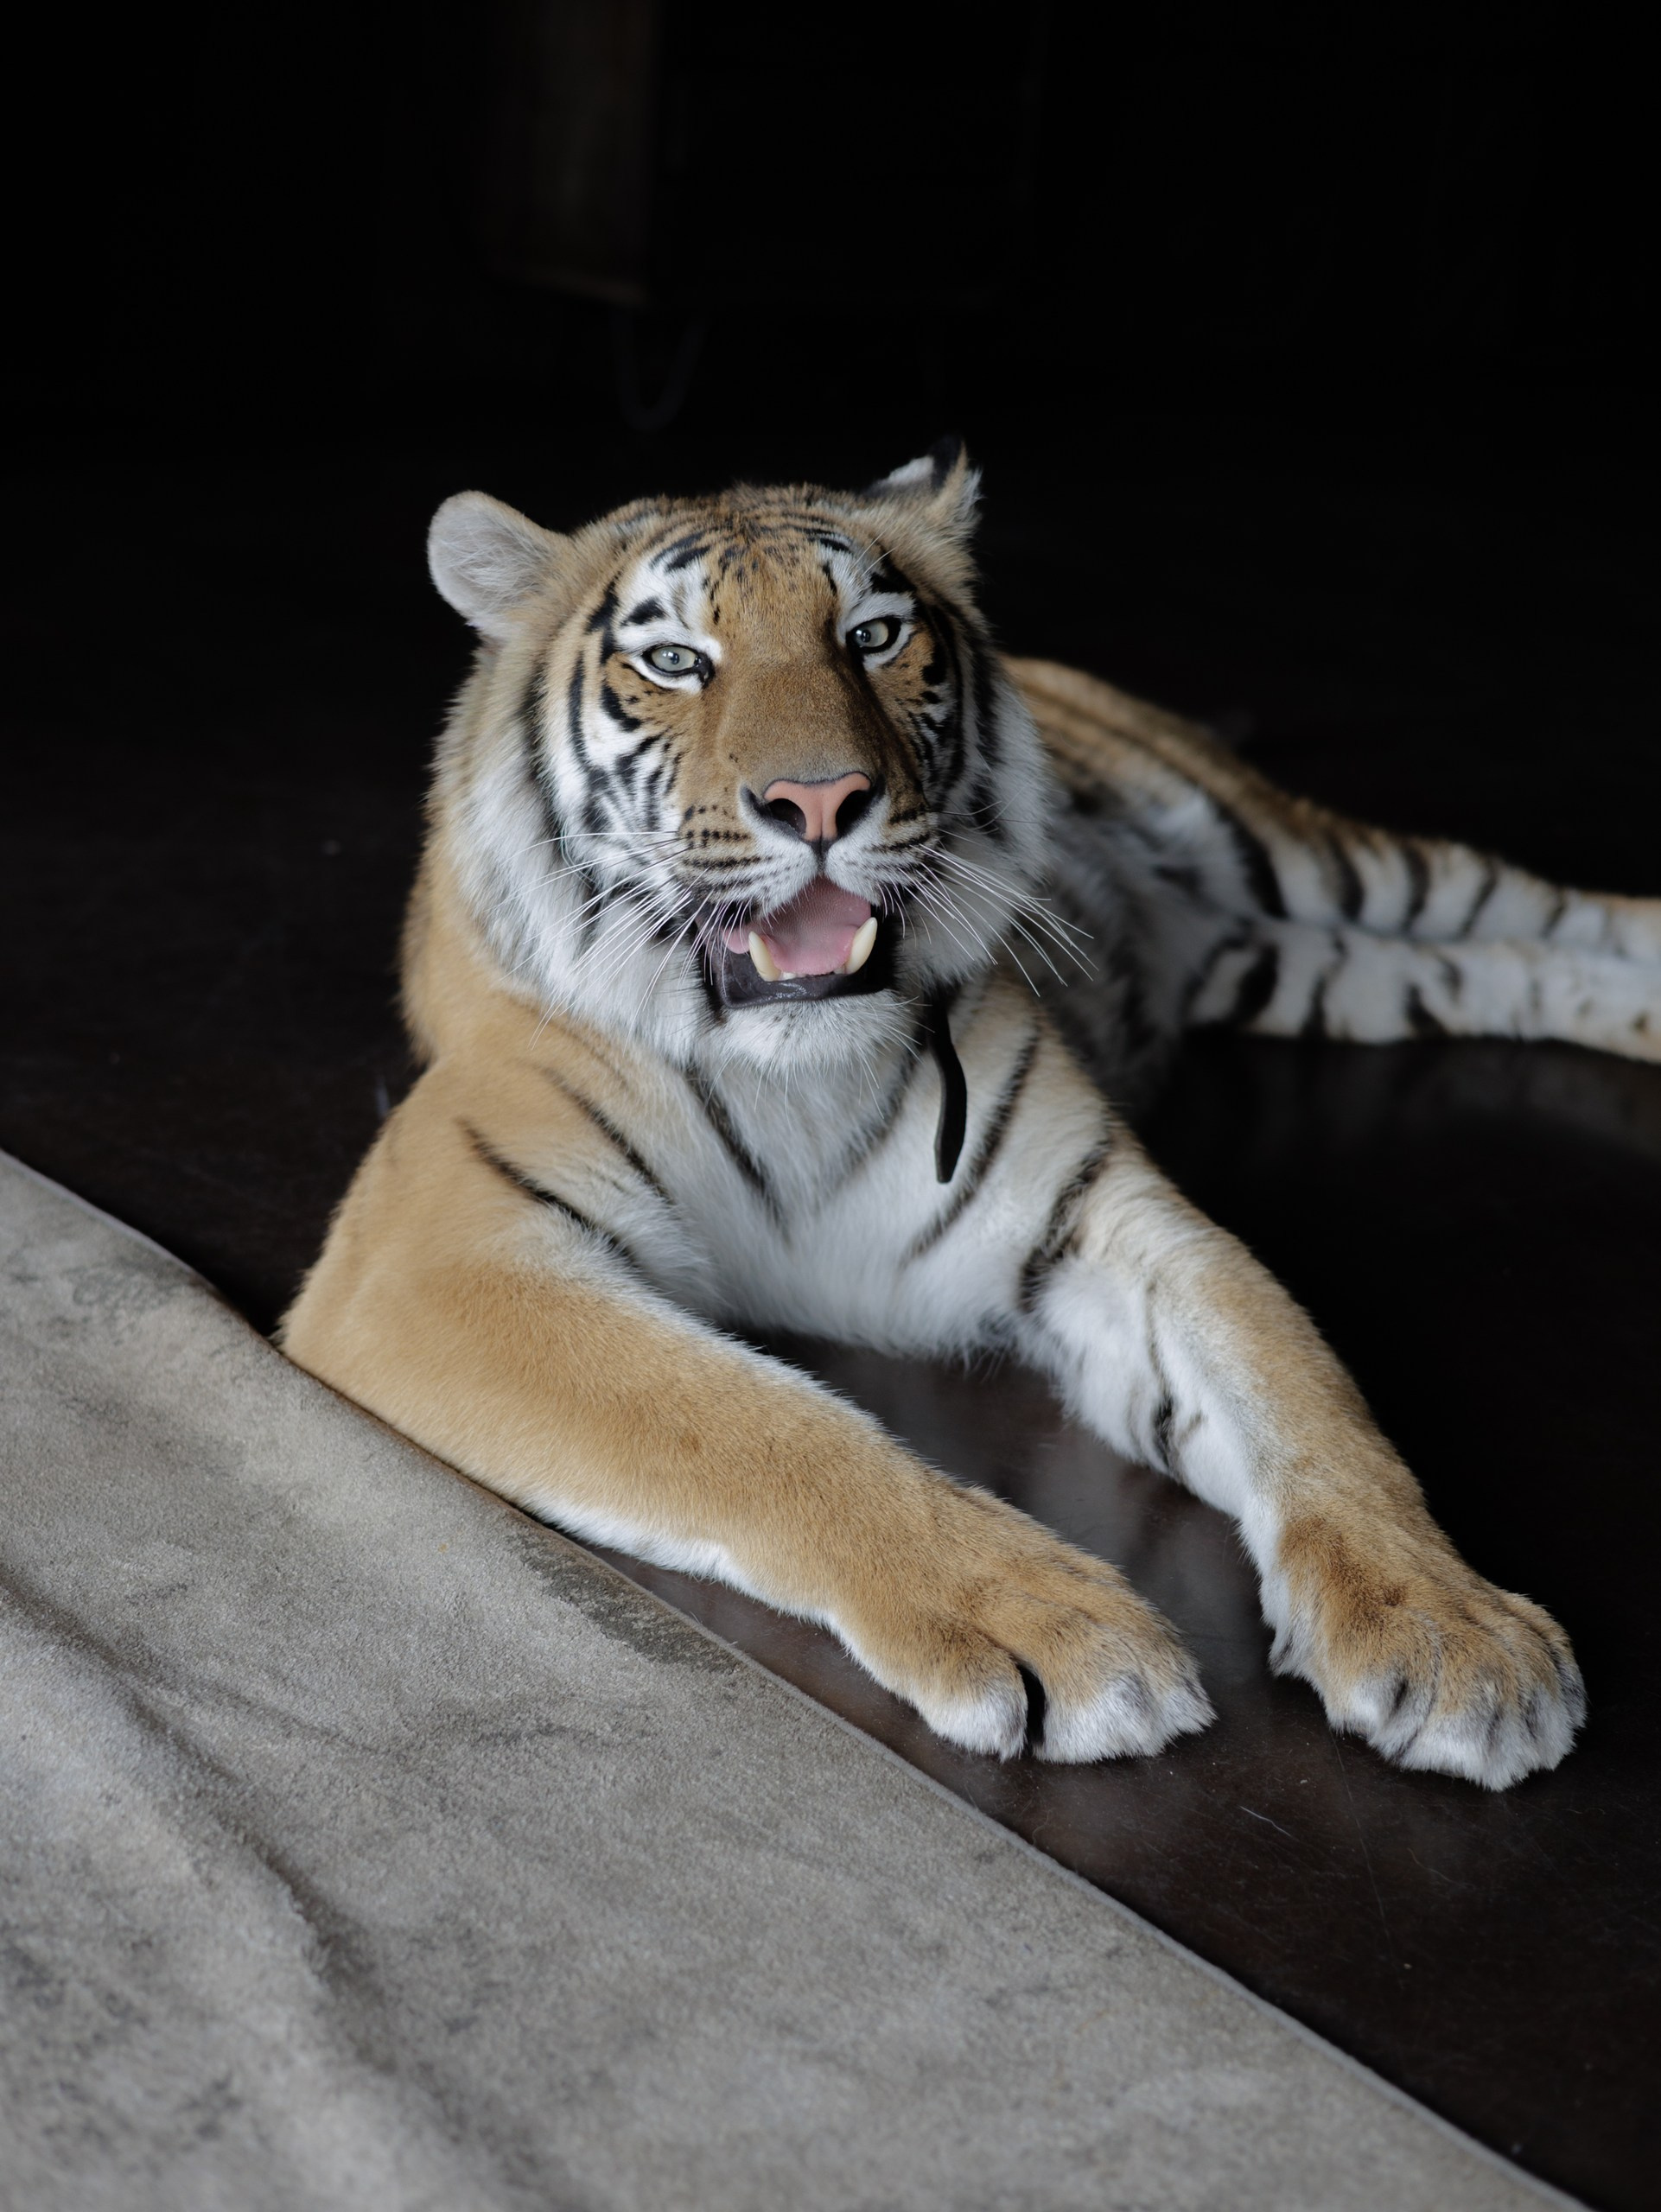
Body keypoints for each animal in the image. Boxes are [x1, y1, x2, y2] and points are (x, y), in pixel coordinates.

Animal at [281, 441, 1661, 1790]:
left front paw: (1450, 1631)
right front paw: (1062, 1631)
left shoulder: (1110, 1221)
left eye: (874, 635)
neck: (800, 1070)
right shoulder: (439, 1259)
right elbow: (758, 1426)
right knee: (1509, 968)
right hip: (1316, 965)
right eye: (674, 660)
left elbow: (1305, 1402)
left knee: (1548, 908)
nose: (820, 800)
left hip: (1321, 866)